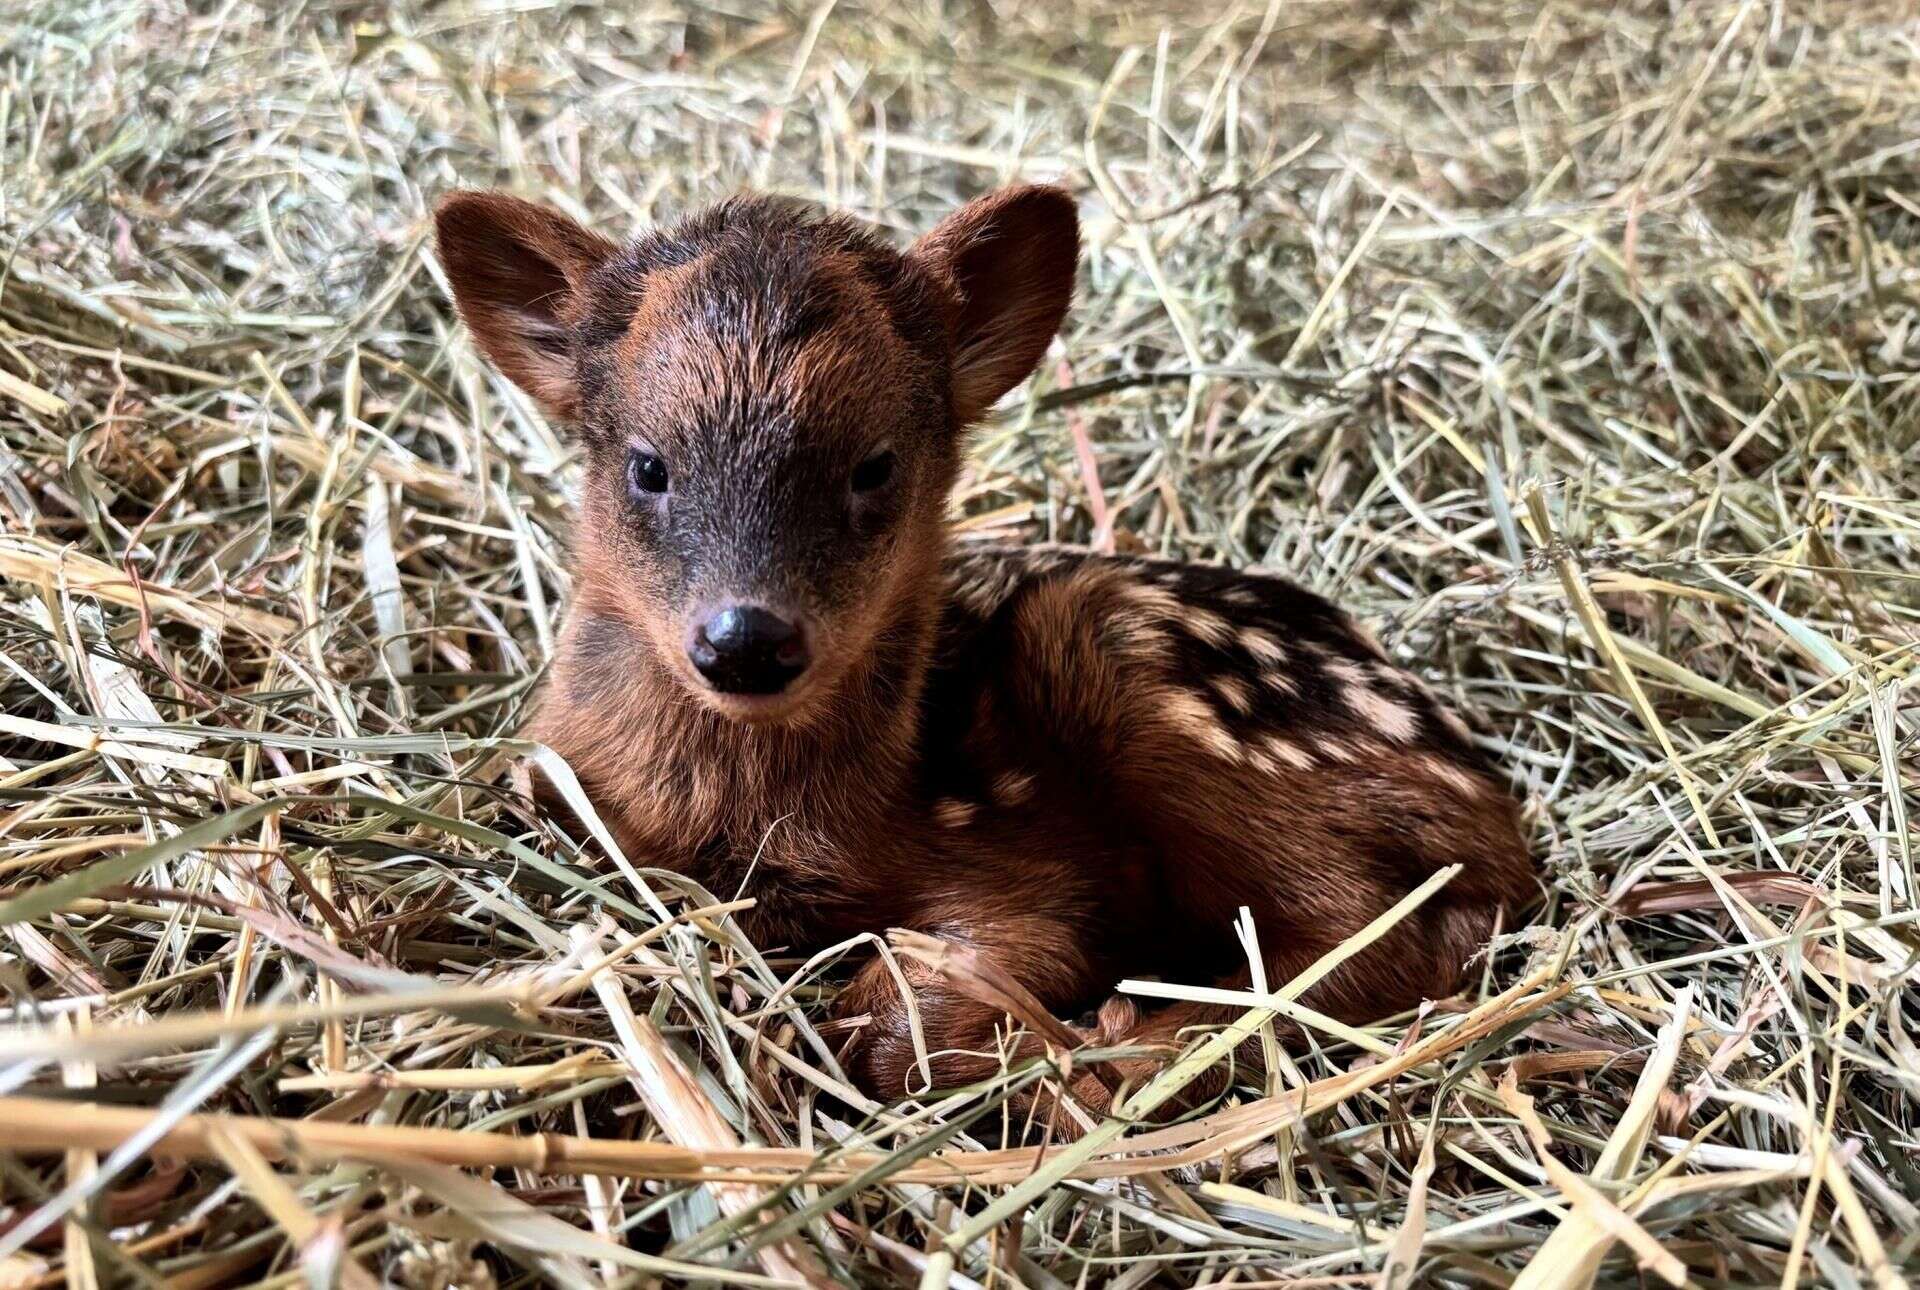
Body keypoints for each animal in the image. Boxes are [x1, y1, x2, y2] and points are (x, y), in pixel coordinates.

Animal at [441, 186, 1536, 1113]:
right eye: (648, 466)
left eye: (874, 467)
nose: (746, 642)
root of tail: (1491, 802)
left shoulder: (1028, 880)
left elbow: (929, 1008)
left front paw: (992, 1039)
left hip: (1116, 645)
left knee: (1369, 930)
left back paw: (1120, 1048)